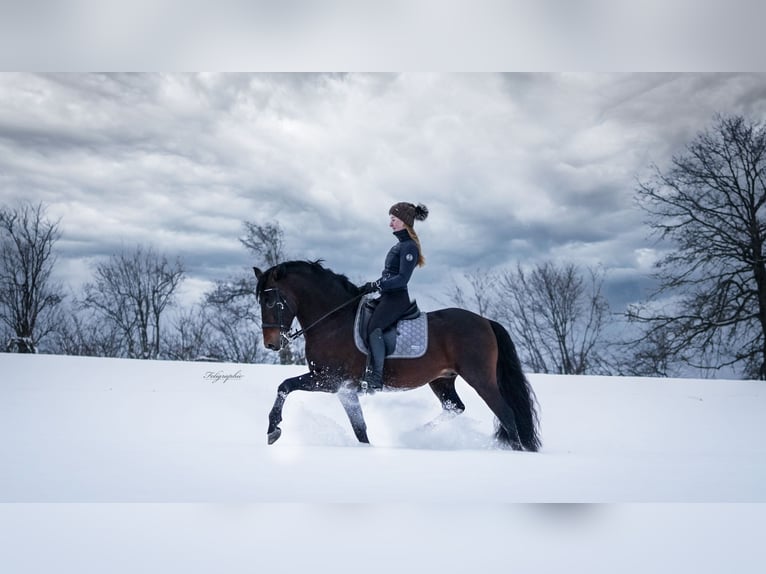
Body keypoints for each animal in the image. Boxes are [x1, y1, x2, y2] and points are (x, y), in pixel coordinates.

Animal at [252, 260, 540, 454]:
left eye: (271, 301)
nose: (271, 344)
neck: (332, 321)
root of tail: (486, 322)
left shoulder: (331, 380)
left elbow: (285, 386)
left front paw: (273, 430)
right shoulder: (343, 389)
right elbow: (360, 428)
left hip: (480, 378)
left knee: (506, 414)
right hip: (442, 380)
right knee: (455, 407)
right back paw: (415, 435)